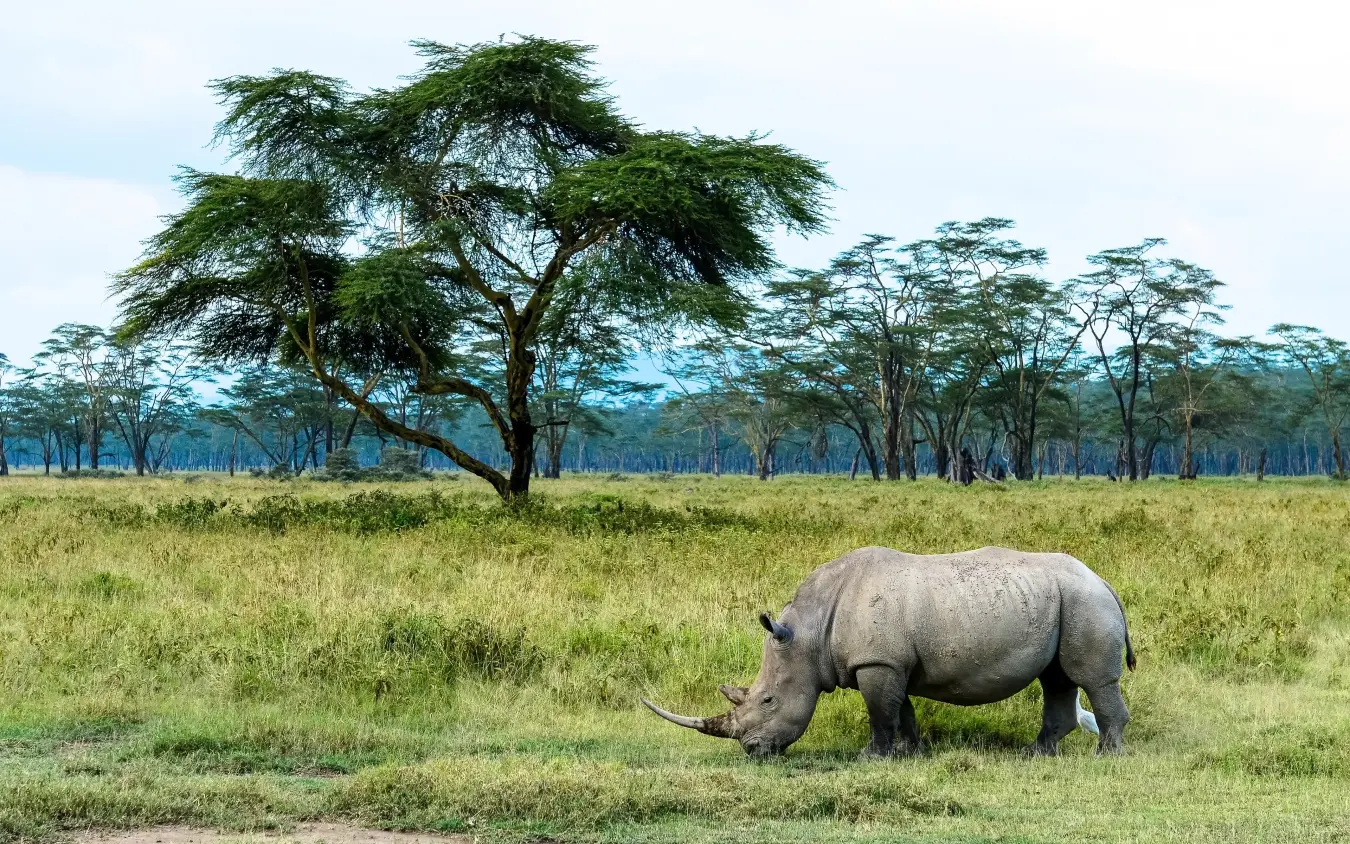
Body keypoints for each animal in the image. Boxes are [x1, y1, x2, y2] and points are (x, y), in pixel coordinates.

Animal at [642, 546, 1135, 758]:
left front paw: (872, 758)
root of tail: (1104, 580)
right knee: (1056, 679)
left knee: (1091, 680)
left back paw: (1105, 756)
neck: (809, 633)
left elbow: (880, 712)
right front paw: (911, 753)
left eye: (767, 701)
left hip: (1085, 602)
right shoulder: (891, 662)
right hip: (1066, 601)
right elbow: (902, 710)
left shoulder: (876, 661)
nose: (752, 751)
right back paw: (1037, 754)